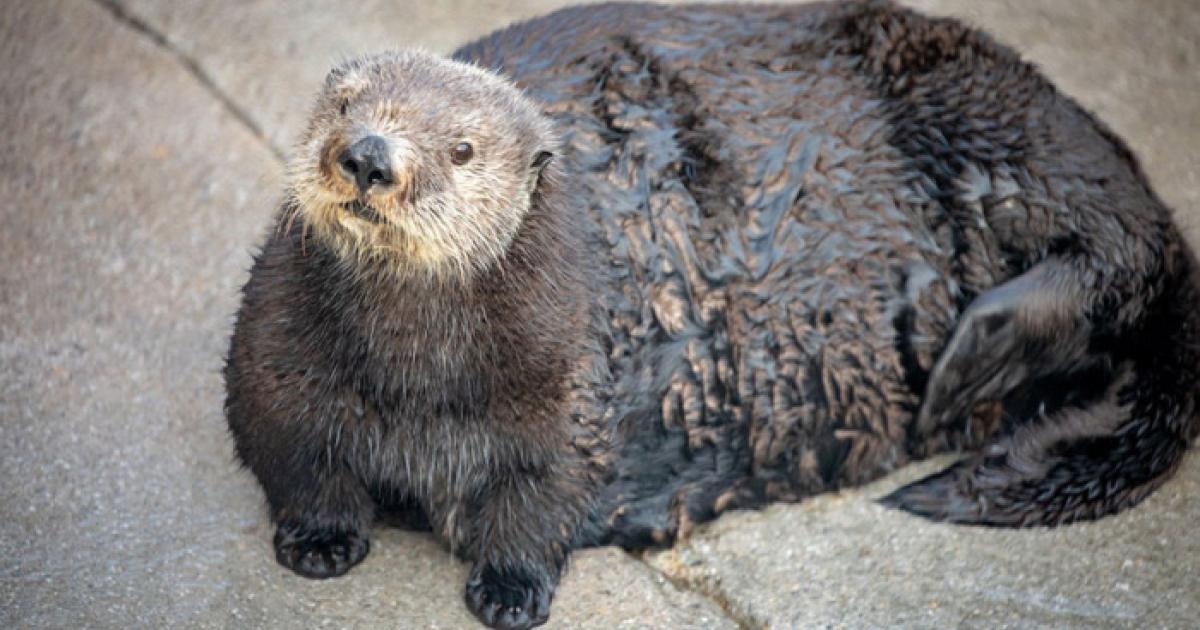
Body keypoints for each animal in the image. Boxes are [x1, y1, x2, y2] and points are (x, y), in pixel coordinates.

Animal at [224, 1, 1200, 628]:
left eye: (461, 149)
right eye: (343, 105)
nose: (367, 154)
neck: (416, 381)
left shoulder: (567, 385)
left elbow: (545, 494)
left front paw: (511, 591)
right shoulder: (275, 355)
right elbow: (293, 453)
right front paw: (318, 543)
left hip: (993, 113)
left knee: (1125, 248)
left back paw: (973, 355)